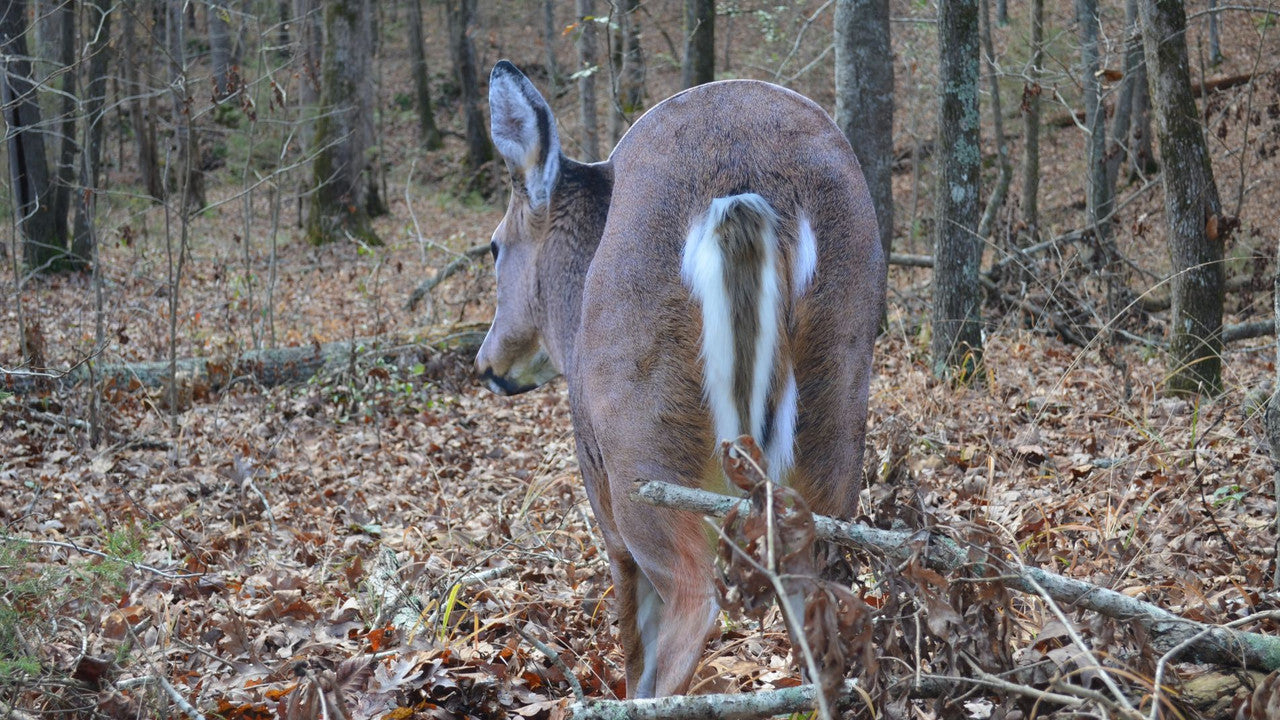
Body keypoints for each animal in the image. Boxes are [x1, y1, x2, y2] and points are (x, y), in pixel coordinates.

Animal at [476, 60, 885, 696]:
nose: (486, 364)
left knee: (690, 615)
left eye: (494, 248)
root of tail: (744, 198)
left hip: (643, 455)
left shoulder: (603, 500)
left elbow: (631, 641)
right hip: (834, 440)